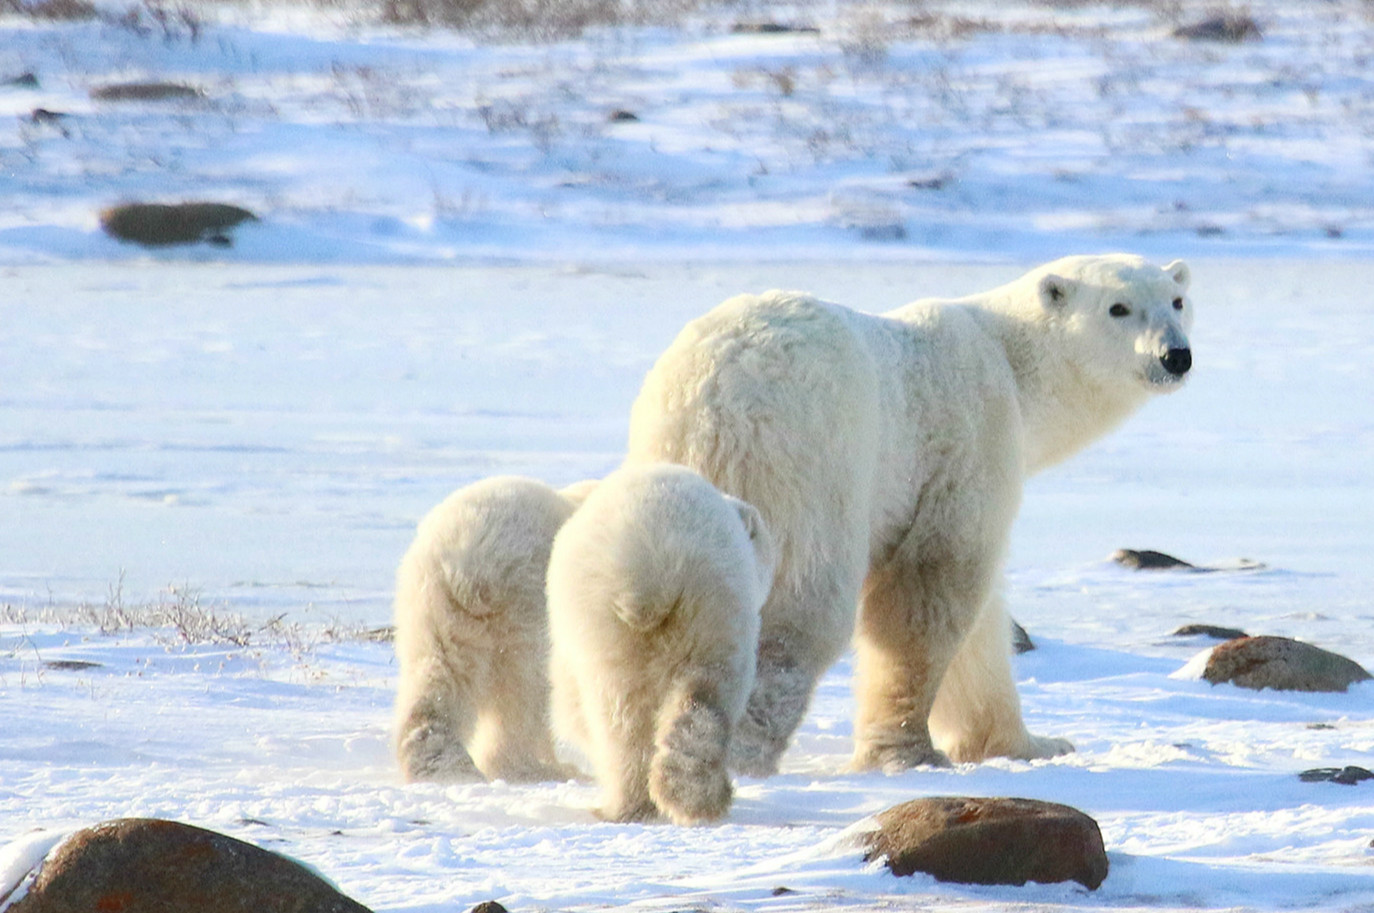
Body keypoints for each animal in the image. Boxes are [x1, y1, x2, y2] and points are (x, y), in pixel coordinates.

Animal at [549, 459, 785, 825]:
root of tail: (652, 573)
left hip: (606, 624)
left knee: (621, 716)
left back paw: (626, 806)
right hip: (712, 608)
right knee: (704, 694)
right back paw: (694, 797)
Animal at [629, 253, 1198, 775]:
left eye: (1176, 301)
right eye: (1118, 308)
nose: (1176, 356)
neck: (1012, 361)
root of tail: (711, 397)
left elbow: (982, 627)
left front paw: (1033, 744)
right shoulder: (968, 440)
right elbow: (931, 590)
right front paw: (910, 752)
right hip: (811, 459)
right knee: (802, 608)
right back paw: (743, 755)